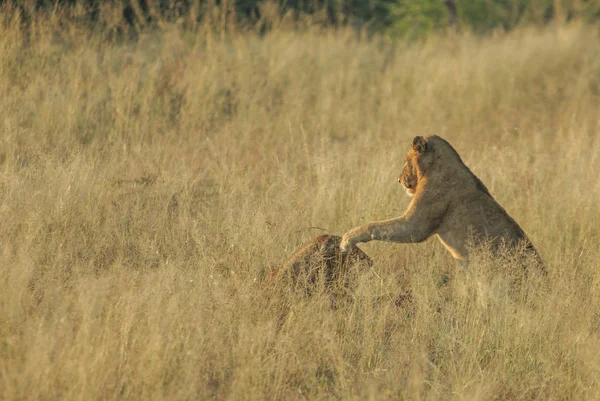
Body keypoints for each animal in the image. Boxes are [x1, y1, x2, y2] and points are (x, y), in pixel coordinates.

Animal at [342, 134, 544, 268]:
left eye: (406, 161)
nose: (398, 180)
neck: (433, 166)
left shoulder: (415, 225)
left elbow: (375, 226)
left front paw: (347, 239)